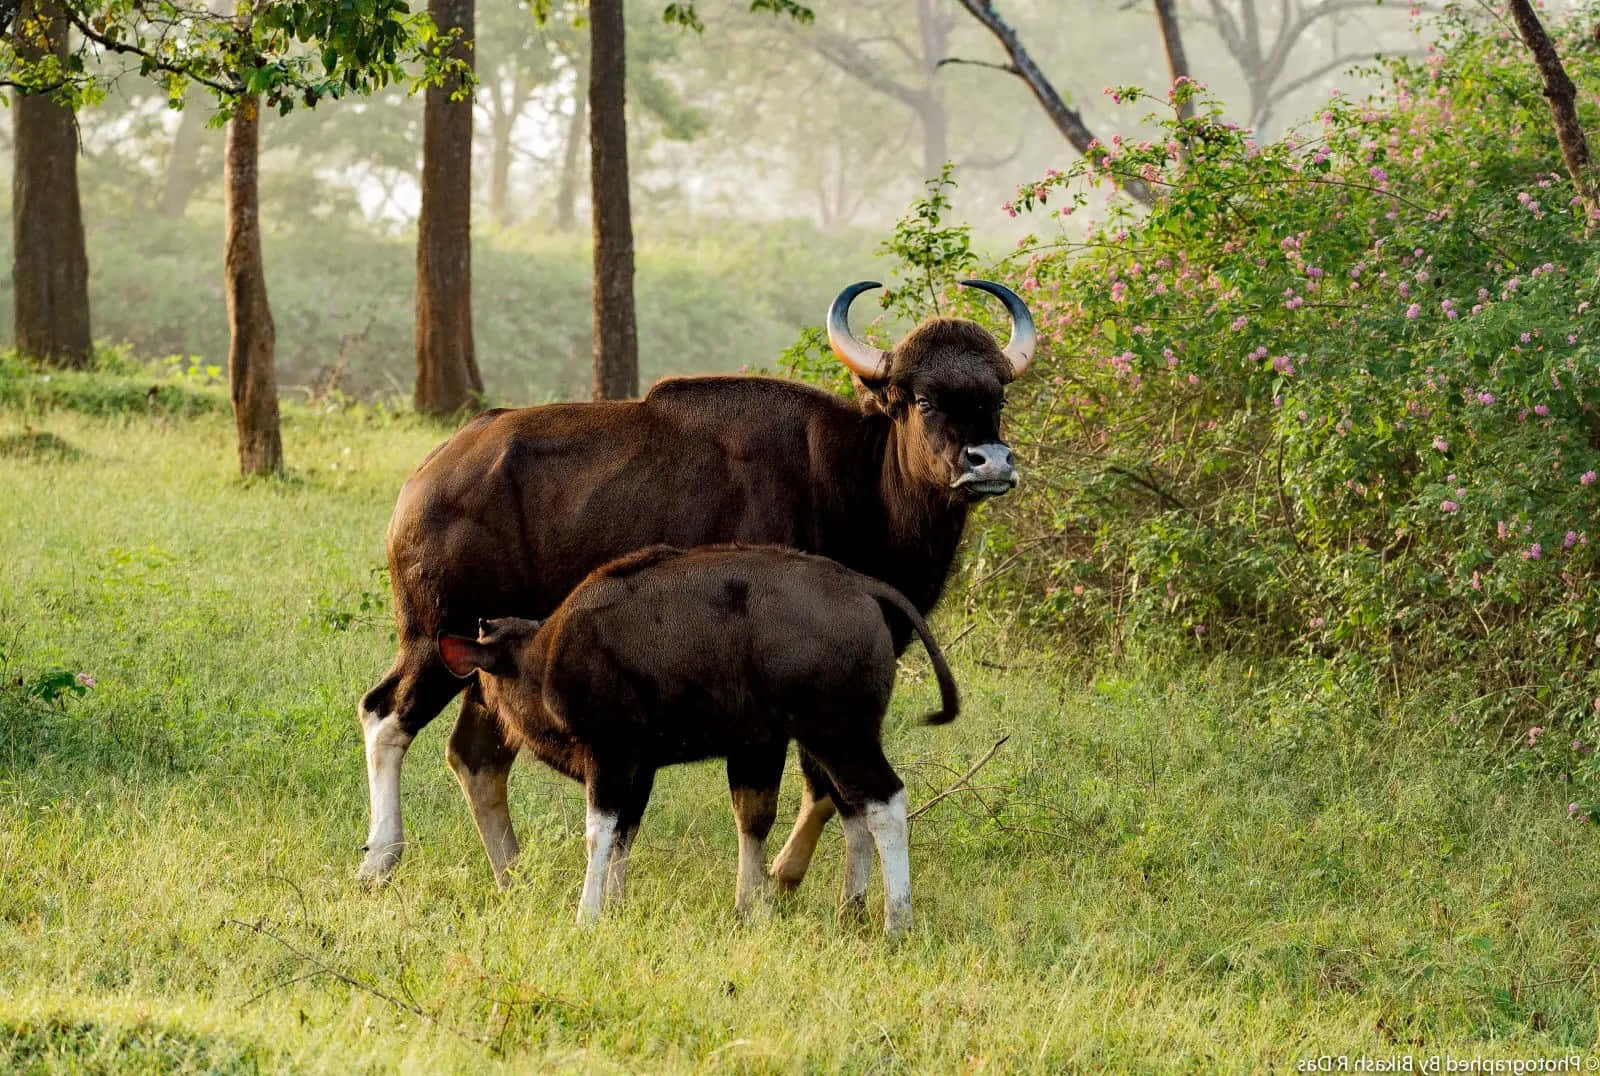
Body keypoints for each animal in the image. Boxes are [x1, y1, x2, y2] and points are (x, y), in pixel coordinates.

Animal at [438, 547, 960, 935]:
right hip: (831, 741)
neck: (544, 657)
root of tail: (859, 585)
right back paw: (850, 912)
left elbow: (598, 834)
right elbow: (625, 834)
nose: (477, 700)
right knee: (854, 812)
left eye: (483, 671)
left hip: (841, 736)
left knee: (885, 802)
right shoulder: (640, 767)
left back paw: (897, 922)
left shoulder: (610, 756)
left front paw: (587, 916)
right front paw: (616, 908)